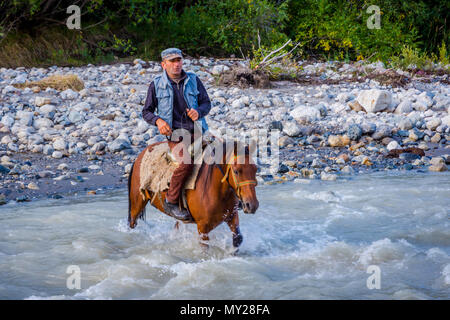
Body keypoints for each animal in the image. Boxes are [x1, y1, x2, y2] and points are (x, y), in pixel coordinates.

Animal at [126, 140, 260, 250]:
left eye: (255, 169)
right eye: (236, 171)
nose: (252, 205)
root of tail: (140, 155)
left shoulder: (232, 216)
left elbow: (238, 239)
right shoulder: (202, 228)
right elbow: (205, 248)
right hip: (137, 204)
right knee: (132, 223)